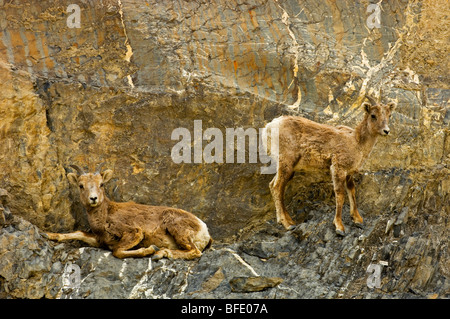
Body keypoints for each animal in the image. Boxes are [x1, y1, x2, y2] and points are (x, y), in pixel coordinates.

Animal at [46, 166, 212, 262]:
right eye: (81, 185)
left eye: (101, 184)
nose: (93, 198)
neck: (104, 217)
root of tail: (204, 229)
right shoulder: (99, 240)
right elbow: (78, 233)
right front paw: (49, 235)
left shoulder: (134, 232)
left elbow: (117, 251)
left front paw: (150, 250)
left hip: (177, 228)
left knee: (195, 251)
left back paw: (160, 253)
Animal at [262, 96, 396, 236]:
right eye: (373, 115)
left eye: (389, 115)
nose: (386, 131)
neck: (356, 142)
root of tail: (269, 127)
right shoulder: (338, 168)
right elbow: (340, 194)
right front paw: (339, 227)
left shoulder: (349, 173)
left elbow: (352, 191)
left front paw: (357, 220)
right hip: (286, 163)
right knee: (277, 186)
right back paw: (288, 224)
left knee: (273, 185)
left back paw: (289, 221)